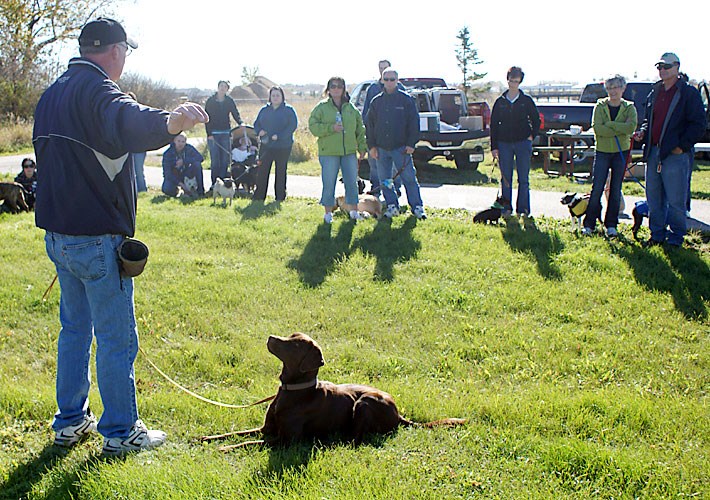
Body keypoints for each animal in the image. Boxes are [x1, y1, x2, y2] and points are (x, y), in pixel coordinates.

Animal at [202, 332, 468, 450]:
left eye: (294, 345)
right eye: (289, 336)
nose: (270, 336)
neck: (293, 390)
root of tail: (399, 414)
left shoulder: (285, 440)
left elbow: (250, 442)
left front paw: (226, 448)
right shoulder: (266, 428)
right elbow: (237, 433)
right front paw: (207, 438)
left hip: (364, 403)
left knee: (355, 439)